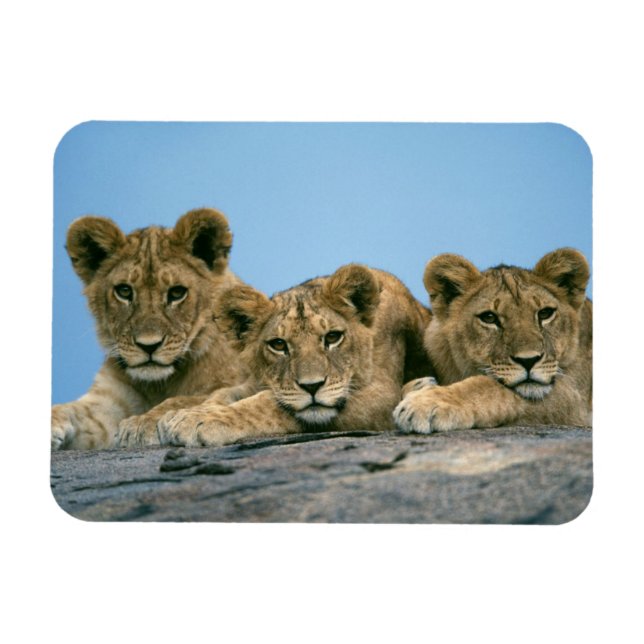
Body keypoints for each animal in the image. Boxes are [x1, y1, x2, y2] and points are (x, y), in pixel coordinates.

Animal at [52, 208, 248, 450]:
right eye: (124, 291)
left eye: (177, 293)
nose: (149, 346)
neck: (158, 384)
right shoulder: (107, 403)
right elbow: (70, 408)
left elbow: (187, 399)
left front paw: (143, 422)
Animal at [154, 264, 432, 447]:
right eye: (278, 345)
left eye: (333, 337)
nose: (312, 387)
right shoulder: (256, 381)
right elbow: (224, 394)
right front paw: (181, 415)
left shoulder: (382, 394)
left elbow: (268, 405)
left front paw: (200, 419)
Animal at [393, 248, 592, 433]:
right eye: (489, 317)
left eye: (545, 313)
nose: (529, 360)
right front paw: (418, 386)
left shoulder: (575, 399)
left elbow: (489, 388)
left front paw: (426, 403)